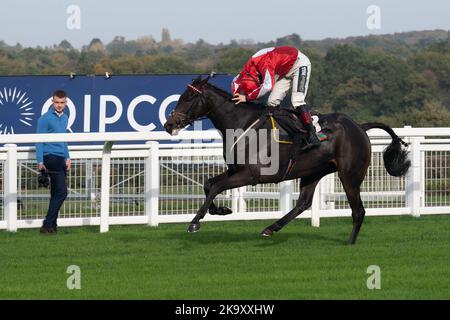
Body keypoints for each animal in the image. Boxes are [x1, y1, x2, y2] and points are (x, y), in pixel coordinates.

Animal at [163, 76, 410, 244]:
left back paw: (349, 242)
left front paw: (195, 222)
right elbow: (209, 184)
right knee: (303, 203)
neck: (242, 125)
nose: (169, 124)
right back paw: (271, 228)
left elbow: (216, 187)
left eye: (189, 97)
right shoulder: (235, 171)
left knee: (358, 211)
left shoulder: (251, 175)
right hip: (314, 171)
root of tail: (359, 126)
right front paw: (221, 210)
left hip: (350, 175)